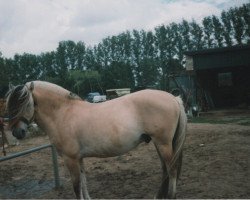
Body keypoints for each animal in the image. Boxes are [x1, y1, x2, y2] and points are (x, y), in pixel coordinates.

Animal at [5, 80, 187, 199]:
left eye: (24, 103)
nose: (17, 132)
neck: (63, 113)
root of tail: (173, 98)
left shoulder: (70, 159)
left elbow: (77, 186)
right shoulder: (78, 158)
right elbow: (84, 182)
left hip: (163, 143)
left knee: (171, 170)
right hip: (160, 144)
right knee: (165, 169)